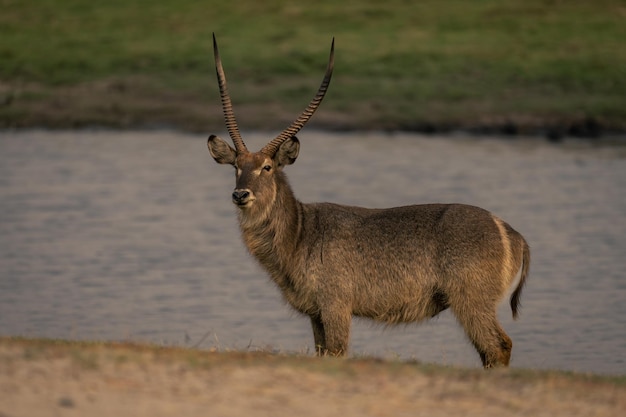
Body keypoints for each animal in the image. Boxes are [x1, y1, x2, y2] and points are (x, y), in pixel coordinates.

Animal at [206, 35, 528, 368]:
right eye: (236, 167)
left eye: (267, 167)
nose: (240, 194)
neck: (300, 233)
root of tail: (511, 232)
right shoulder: (315, 313)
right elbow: (322, 353)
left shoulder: (336, 306)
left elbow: (338, 352)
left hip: (471, 300)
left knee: (499, 346)